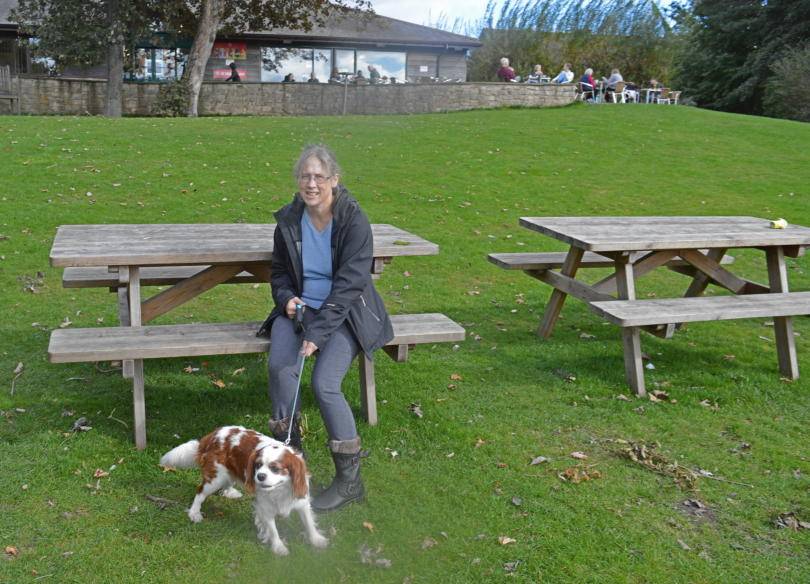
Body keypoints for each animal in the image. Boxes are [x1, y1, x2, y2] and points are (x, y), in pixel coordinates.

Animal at [159, 424, 326, 556]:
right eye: (258, 465)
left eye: (275, 468)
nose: (259, 476)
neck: (280, 488)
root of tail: (213, 434)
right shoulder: (264, 508)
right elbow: (273, 530)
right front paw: (278, 547)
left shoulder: (302, 501)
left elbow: (309, 522)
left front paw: (316, 539)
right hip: (215, 477)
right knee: (200, 492)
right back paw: (194, 513)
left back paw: (230, 492)